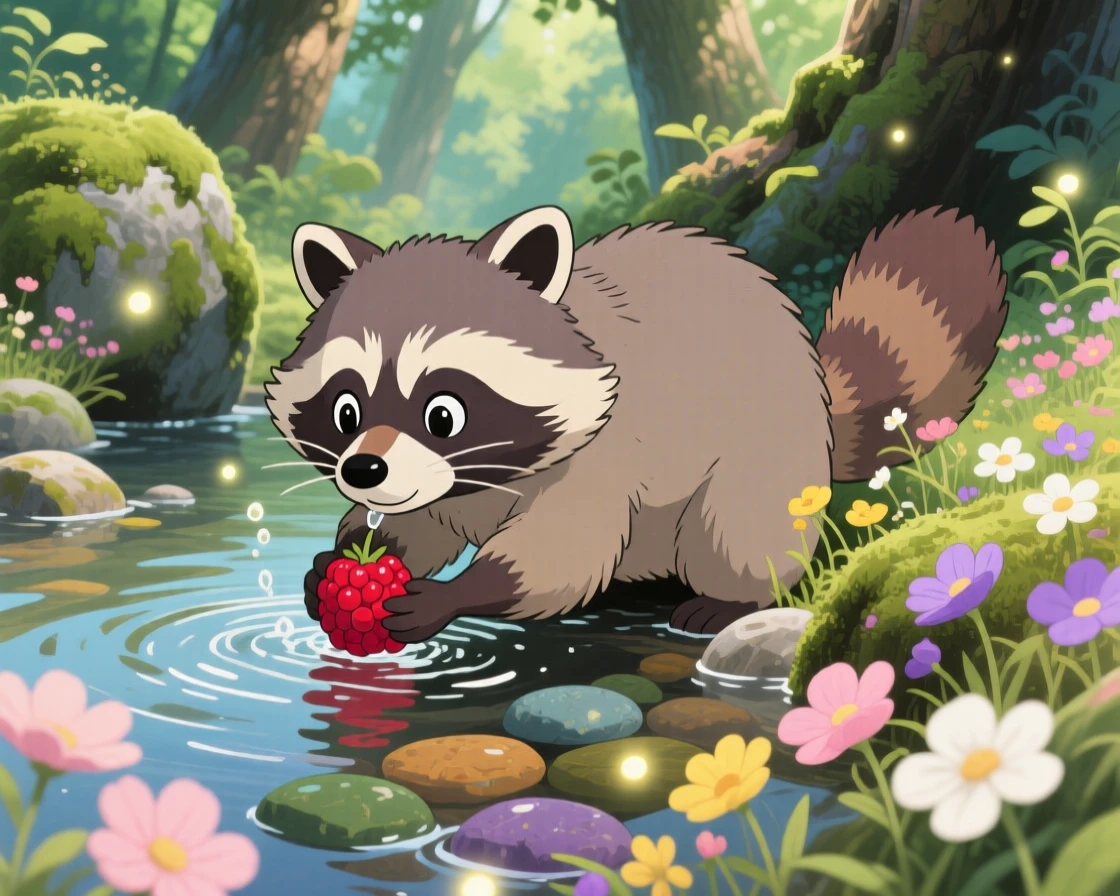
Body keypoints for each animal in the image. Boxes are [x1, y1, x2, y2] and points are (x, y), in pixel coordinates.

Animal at [265, 205, 1007, 643]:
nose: (364, 471)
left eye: (443, 412)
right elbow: (422, 523)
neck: (486, 474)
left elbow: (559, 553)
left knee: (738, 525)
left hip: (768, 445)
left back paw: (731, 598)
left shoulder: (604, 452)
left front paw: (461, 593)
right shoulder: (442, 489)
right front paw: (351, 552)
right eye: (346, 410)